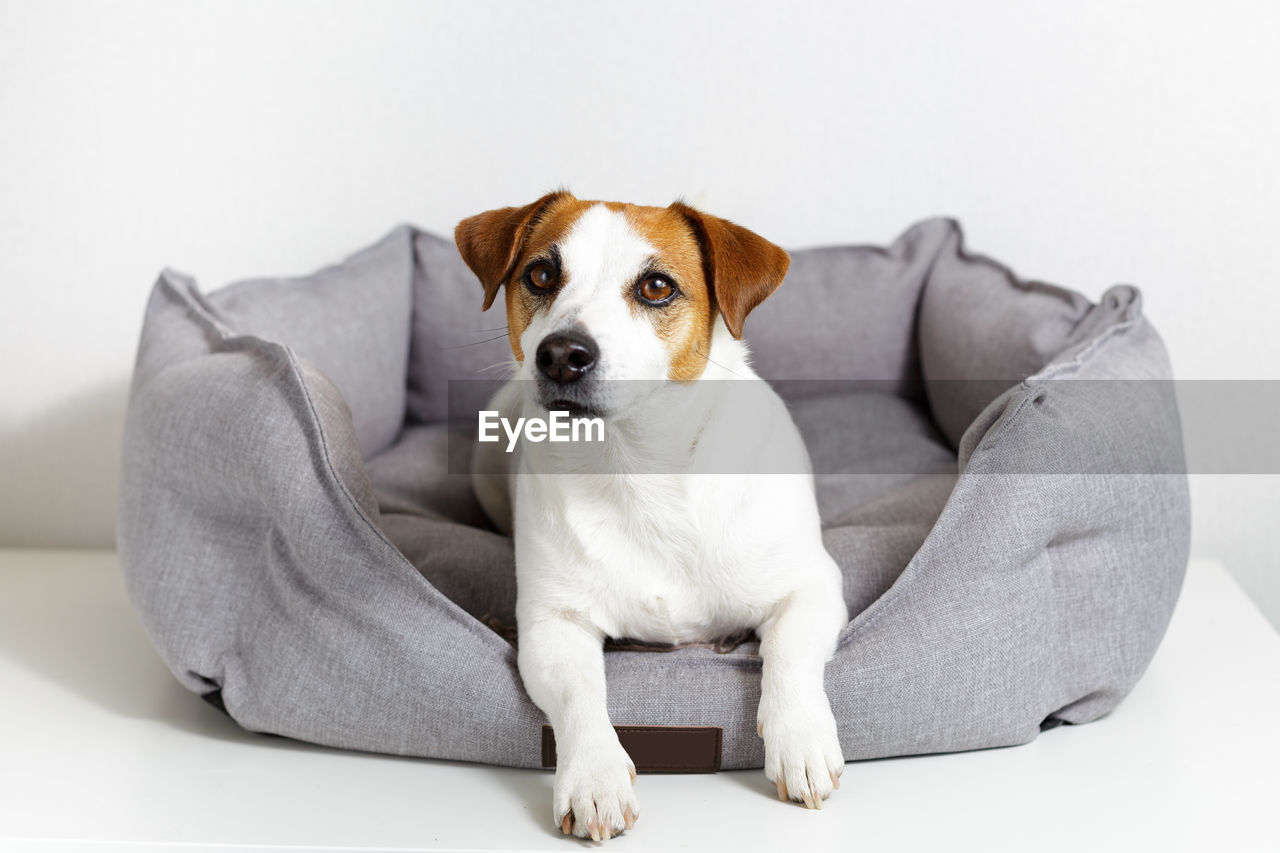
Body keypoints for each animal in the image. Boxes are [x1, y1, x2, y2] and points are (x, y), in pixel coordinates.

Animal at [455, 190, 844, 835]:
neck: (639, 468)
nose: (561, 354)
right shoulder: (553, 624)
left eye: (657, 286)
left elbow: (788, 653)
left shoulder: (812, 586)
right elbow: (580, 696)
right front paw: (594, 777)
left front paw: (802, 741)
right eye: (540, 275)